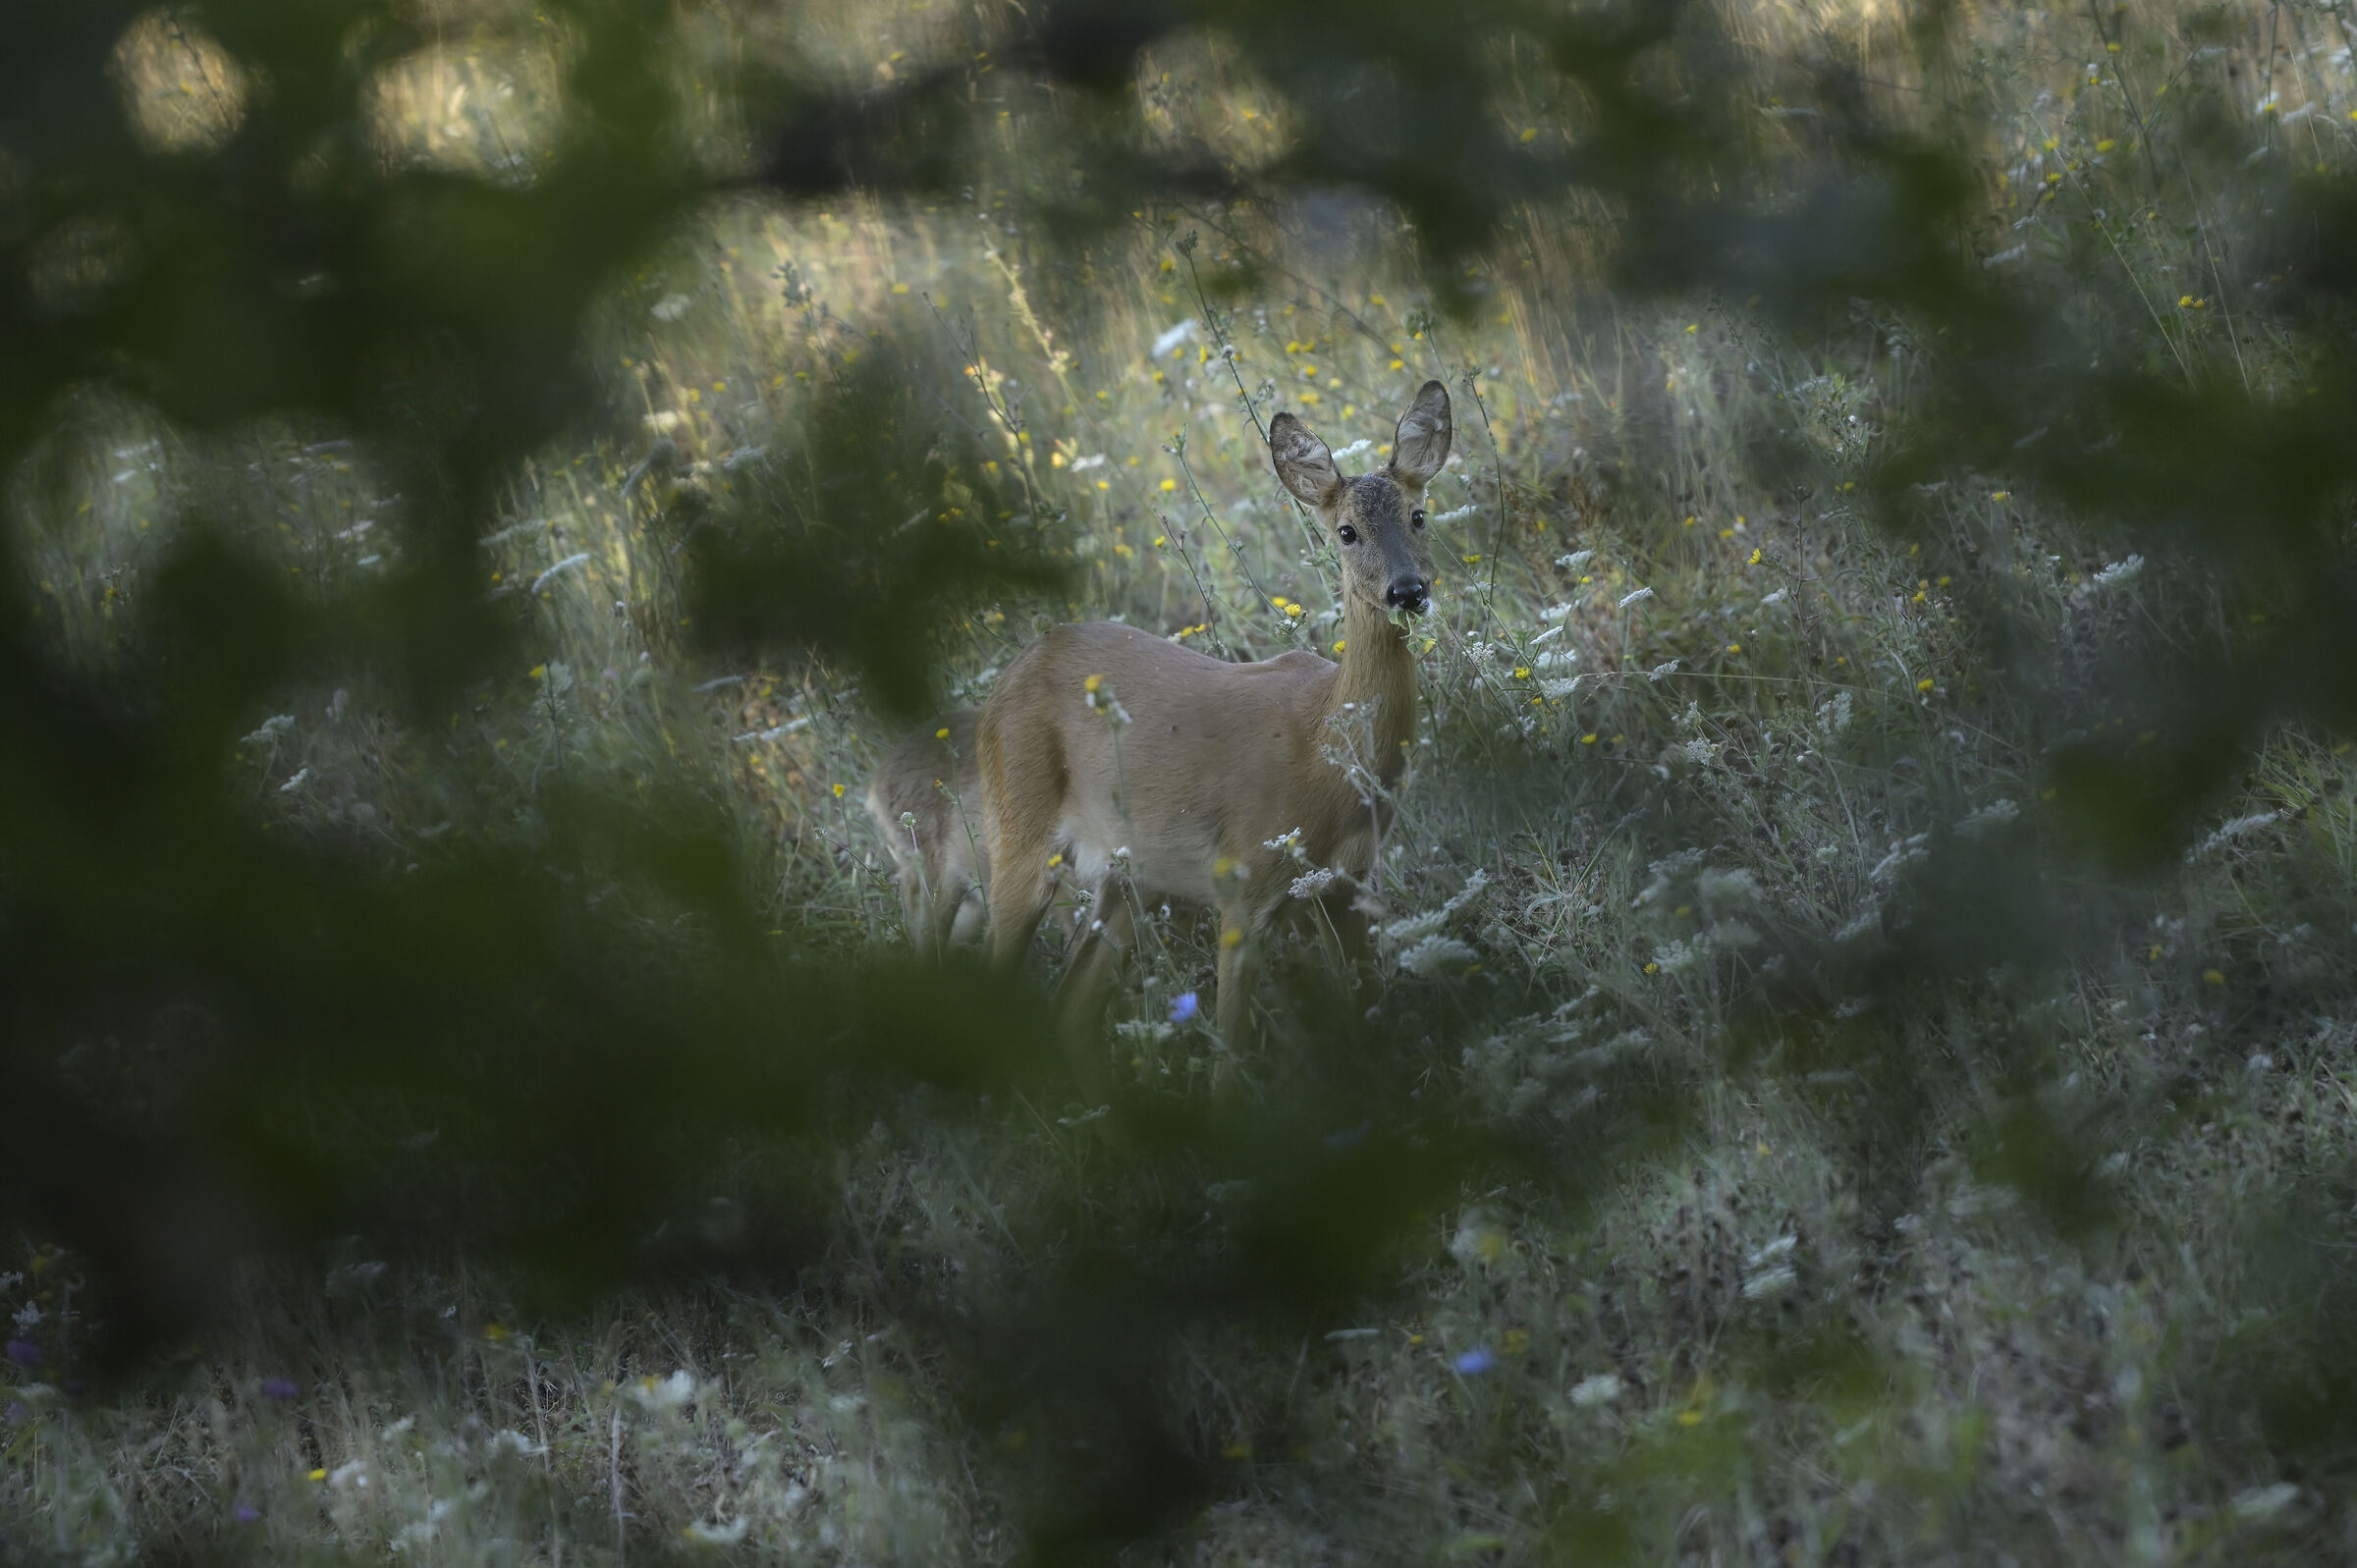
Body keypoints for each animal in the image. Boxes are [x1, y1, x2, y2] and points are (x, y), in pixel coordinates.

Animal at [976, 380, 1451, 1052]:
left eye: (1419, 515)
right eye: (1346, 532)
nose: (1408, 591)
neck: (1324, 747)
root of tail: (1004, 682)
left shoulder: (1348, 886)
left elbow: (1368, 1013)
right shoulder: (1244, 881)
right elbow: (1234, 1046)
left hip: (1132, 878)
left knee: (1072, 1001)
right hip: (1017, 829)